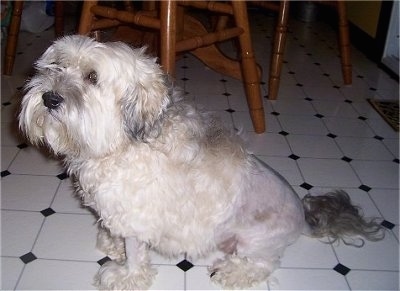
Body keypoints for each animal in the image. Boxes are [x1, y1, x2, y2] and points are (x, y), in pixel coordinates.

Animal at [18, 35, 384, 290]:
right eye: (56, 66)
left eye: (92, 77)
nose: (49, 98)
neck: (122, 142)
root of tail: (304, 218)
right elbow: (116, 232)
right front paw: (113, 243)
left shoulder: (137, 217)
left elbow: (135, 254)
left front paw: (125, 275)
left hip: (253, 242)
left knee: (264, 265)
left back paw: (233, 271)